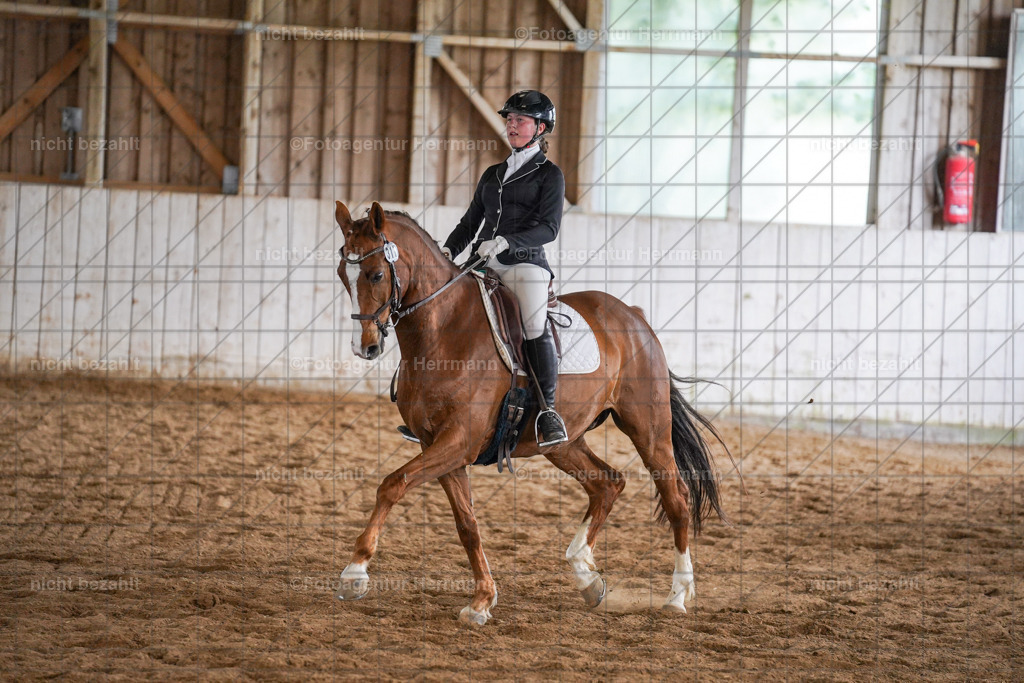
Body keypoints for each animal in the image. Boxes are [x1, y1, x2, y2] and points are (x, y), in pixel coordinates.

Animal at [333, 200, 728, 626]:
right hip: (562, 442)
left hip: (648, 428)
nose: (365, 347)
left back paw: (677, 596)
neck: (443, 330)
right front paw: (482, 600)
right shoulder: (437, 445)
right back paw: (587, 576)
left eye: (375, 274)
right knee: (608, 483)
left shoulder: (459, 441)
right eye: (342, 275)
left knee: (676, 498)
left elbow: (393, 483)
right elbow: (466, 523)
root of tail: (634, 317)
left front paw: (354, 573)